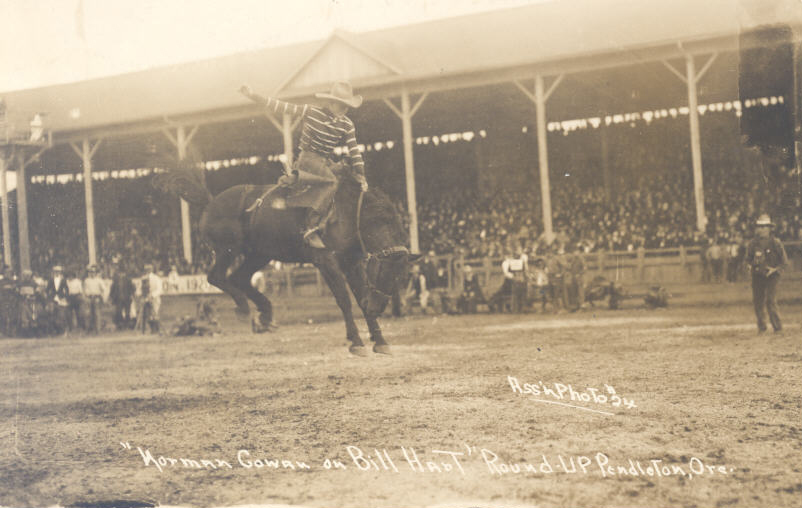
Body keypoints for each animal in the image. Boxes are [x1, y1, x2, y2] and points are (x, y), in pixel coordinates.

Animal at [155, 165, 412, 356]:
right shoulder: (326, 261)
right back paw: (244, 308)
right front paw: (357, 341)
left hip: (259, 253)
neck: (350, 212)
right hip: (227, 250)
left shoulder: (352, 263)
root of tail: (210, 201)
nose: (378, 306)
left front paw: (380, 340)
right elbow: (344, 300)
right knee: (217, 277)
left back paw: (266, 314)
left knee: (239, 278)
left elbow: (359, 297)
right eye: (381, 269)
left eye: (401, 277)